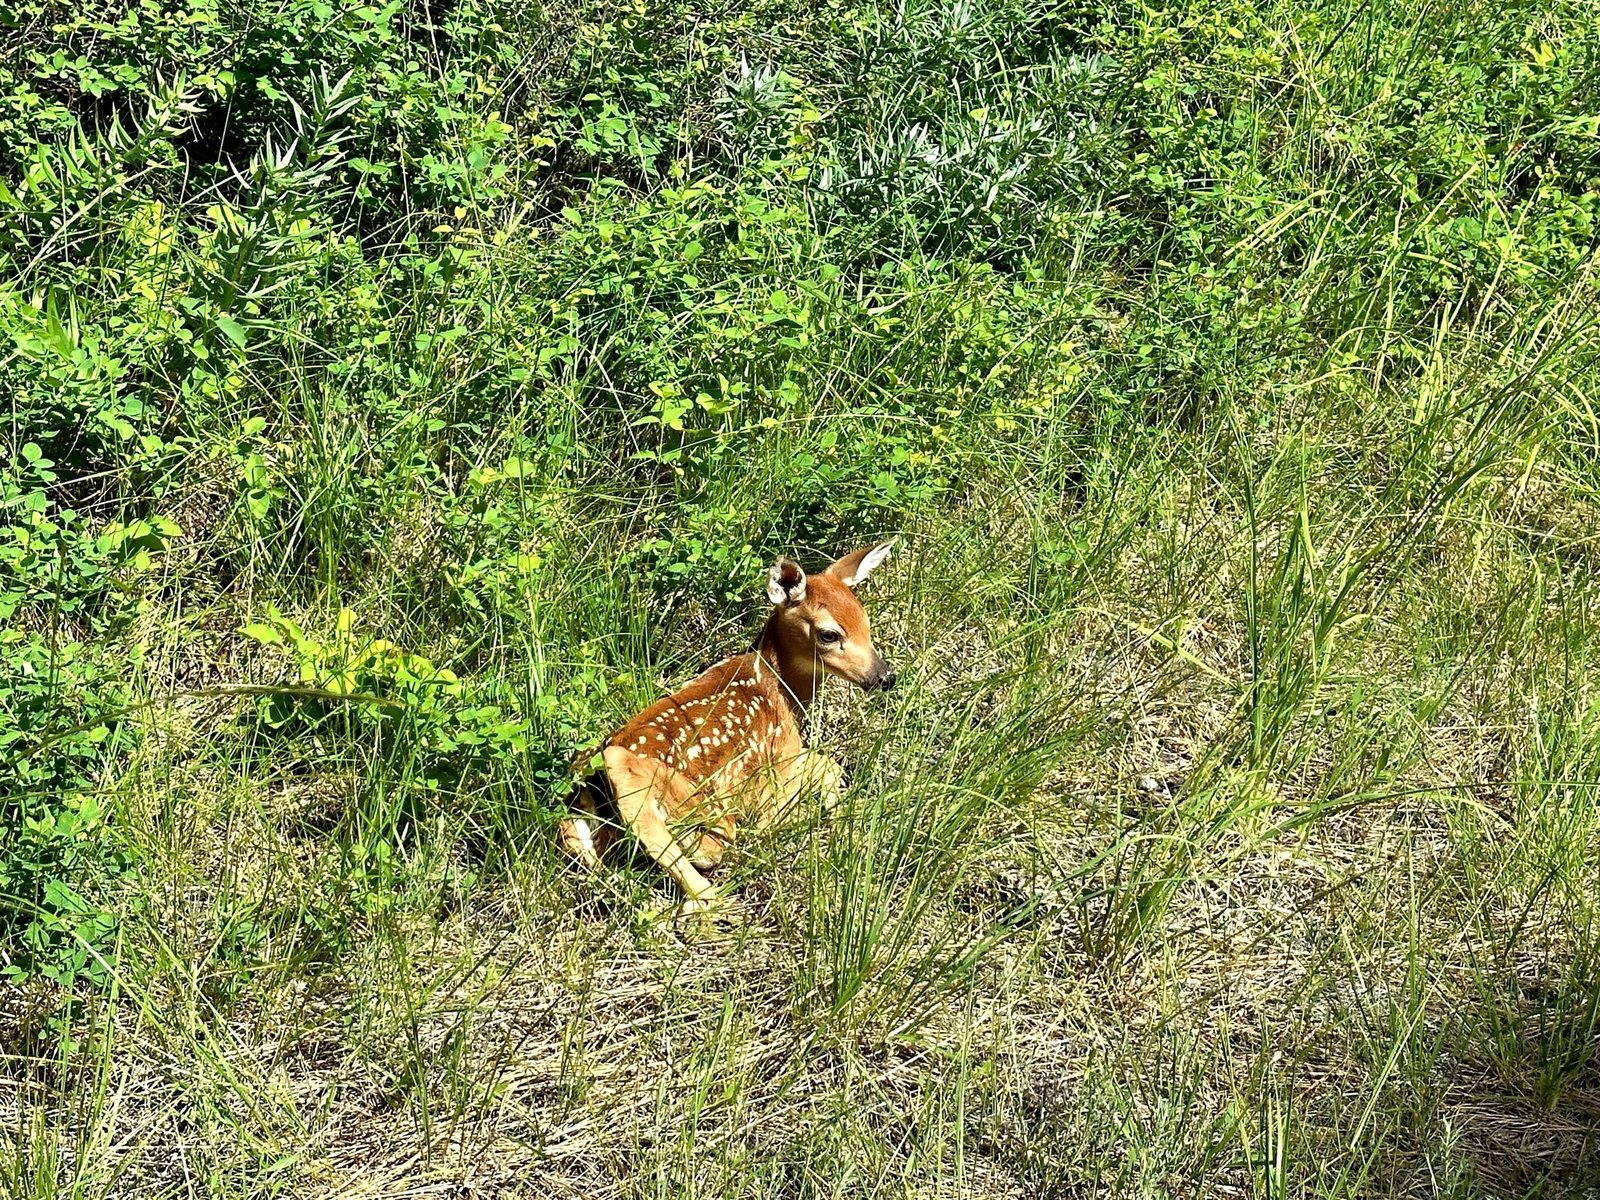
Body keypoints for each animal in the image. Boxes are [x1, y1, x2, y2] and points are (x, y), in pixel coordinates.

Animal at [556, 540, 897, 918]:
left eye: (866, 623)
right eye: (829, 634)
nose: (885, 676)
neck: (780, 689)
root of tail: (589, 786)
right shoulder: (774, 772)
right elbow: (818, 774)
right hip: (666, 788)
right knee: (705, 858)